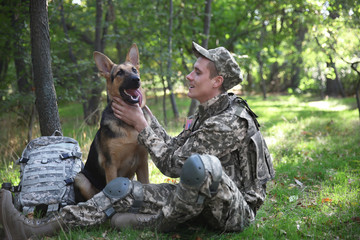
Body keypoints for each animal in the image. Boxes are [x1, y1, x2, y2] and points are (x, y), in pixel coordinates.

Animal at [74, 44, 150, 202]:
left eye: (134, 69)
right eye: (119, 73)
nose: (137, 79)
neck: (129, 126)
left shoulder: (143, 162)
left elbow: (147, 184)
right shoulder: (111, 166)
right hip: (80, 179)